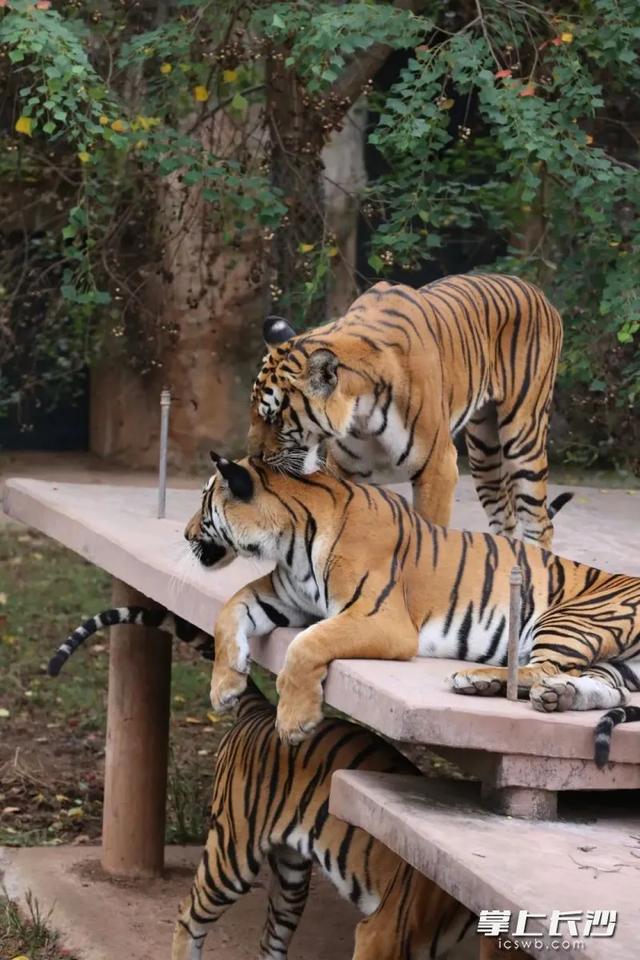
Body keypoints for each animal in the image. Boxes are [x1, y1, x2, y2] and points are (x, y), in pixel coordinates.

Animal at [175, 452, 640, 744]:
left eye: (204, 502)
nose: (184, 533)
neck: (290, 542)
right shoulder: (282, 598)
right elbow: (226, 612)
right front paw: (224, 688)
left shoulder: (381, 619)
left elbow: (307, 644)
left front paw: (294, 722)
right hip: (615, 665)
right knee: (600, 688)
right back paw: (541, 694)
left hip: (572, 618)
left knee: (543, 668)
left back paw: (476, 678)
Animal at [248, 276, 564, 548]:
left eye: (274, 418)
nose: (255, 458)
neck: (361, 415)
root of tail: (536, 291)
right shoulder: (347, 472)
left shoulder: (438, 469)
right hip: (483, 448)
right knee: (505, 519)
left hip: (522, 436)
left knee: (539, 524)